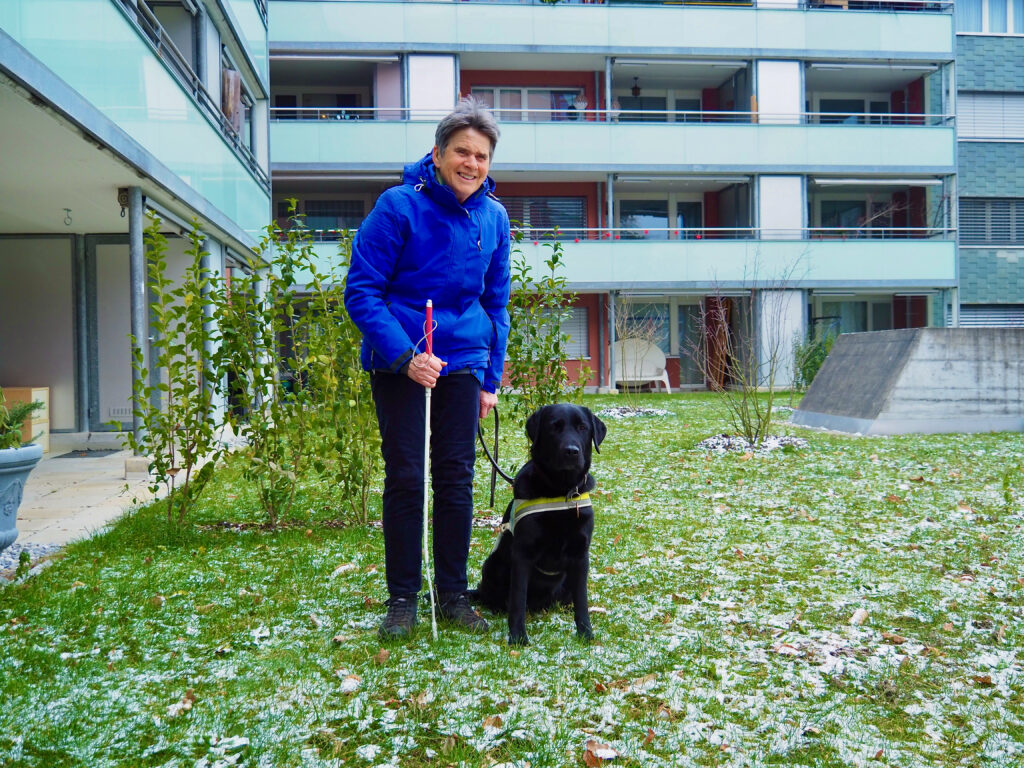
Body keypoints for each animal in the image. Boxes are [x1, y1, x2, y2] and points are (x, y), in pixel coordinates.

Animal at [471, 405, 606, 647]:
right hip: (493, 565)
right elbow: (517, 600)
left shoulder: (581, 555)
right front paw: (517, 637)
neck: (560, 492)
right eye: (554, 427)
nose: (571, 451)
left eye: (582, 427)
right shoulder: (522, 554)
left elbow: (582, 600)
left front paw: (585, 633)